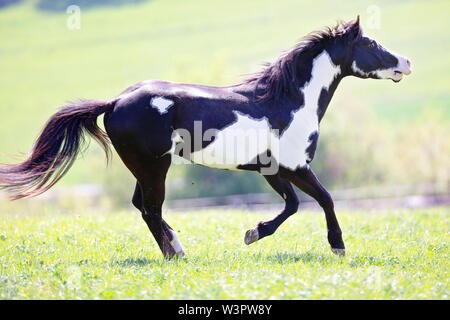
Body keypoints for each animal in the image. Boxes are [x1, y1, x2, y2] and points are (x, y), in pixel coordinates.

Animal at [0, 16, 410, 258]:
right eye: (370, 44)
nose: (406, 63)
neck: (290, 101)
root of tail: (115, 101)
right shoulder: (295, 166)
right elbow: (324, 198)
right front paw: (338, 247)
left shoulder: (273, 170)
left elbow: (293, 205)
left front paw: (254, 232)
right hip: (154, 166)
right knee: (151, 208)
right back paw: (174, 255)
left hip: (144, 167)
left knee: (141, 205)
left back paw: (177, 249)